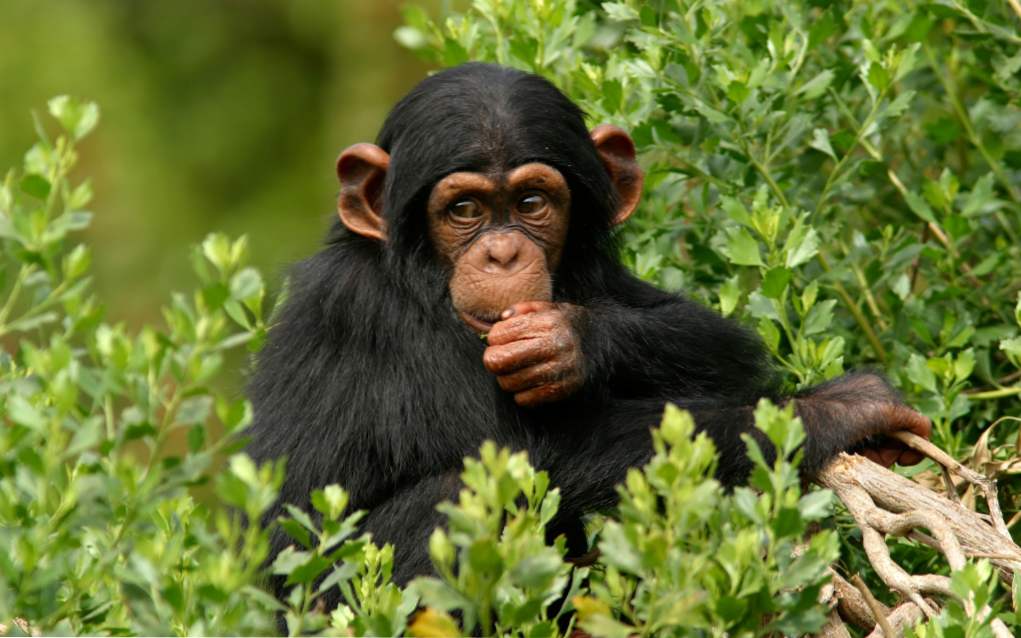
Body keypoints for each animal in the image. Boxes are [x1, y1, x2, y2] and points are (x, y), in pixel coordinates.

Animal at [242, 62, 931, 600]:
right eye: (463, 209)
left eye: (531, 203)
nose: (501, 255)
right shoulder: (371, 314)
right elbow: (518, 453)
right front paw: (839, 409)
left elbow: (717, 342)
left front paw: (569, 341)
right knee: (459, 493)